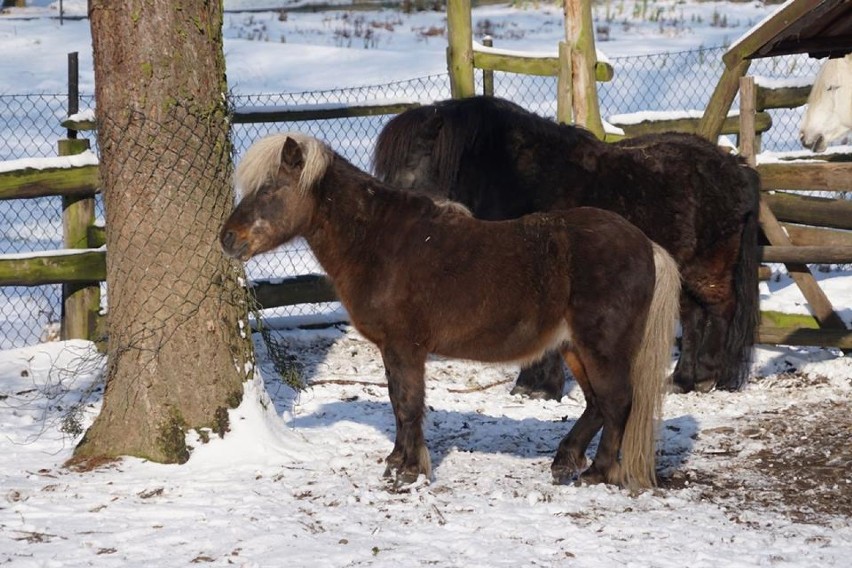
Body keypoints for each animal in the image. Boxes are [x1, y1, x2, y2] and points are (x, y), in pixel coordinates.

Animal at [220, 132, 680, 488]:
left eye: (270, 190)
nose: (228, 238)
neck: (382, 242)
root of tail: (646, 245)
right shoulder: (392, 348)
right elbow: (397, 401)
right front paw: (396, 462)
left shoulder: (405, 346)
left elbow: (408, 403)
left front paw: (409, 471)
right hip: (574, 348)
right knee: (597, 404)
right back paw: (565, 461)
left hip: (601, 348)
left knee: (618, 403)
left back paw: (597, 473)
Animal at [372, 97, 760, 398]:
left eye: (416, 159)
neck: (513, 176)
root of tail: (734, 165)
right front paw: (537, 385)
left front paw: (538, 387)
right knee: (694, 317)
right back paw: (683, 380)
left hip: (709, 265)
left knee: (720, 309)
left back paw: (707, 375)